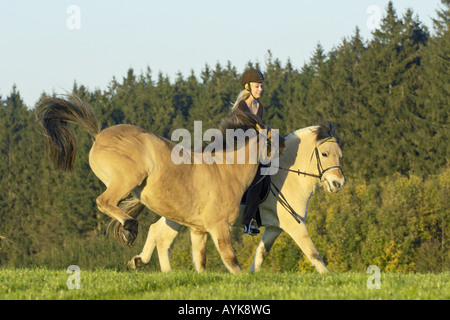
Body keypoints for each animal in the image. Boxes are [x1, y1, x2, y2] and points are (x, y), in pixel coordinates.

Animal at [36, 94, 284, 274]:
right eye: (270, 136)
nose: (283, 145)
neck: (227, 171)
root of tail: (98, 134)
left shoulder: (198, 230)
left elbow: (201, 262)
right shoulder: (218, 226)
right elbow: (232, 262)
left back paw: (145, 262)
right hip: (127, 180)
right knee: (104, 202)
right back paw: (129, 229)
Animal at [126, 121, 344, 274]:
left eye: (339, 154)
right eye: (325, 154)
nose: (338, 184)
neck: (287, 173)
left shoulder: (275, 227)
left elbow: (260, 254)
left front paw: (251, 276)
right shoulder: (293, 224)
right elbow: (313, 252)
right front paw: (327, 276)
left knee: (157, 232)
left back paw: (140, 262)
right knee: (161, 235)